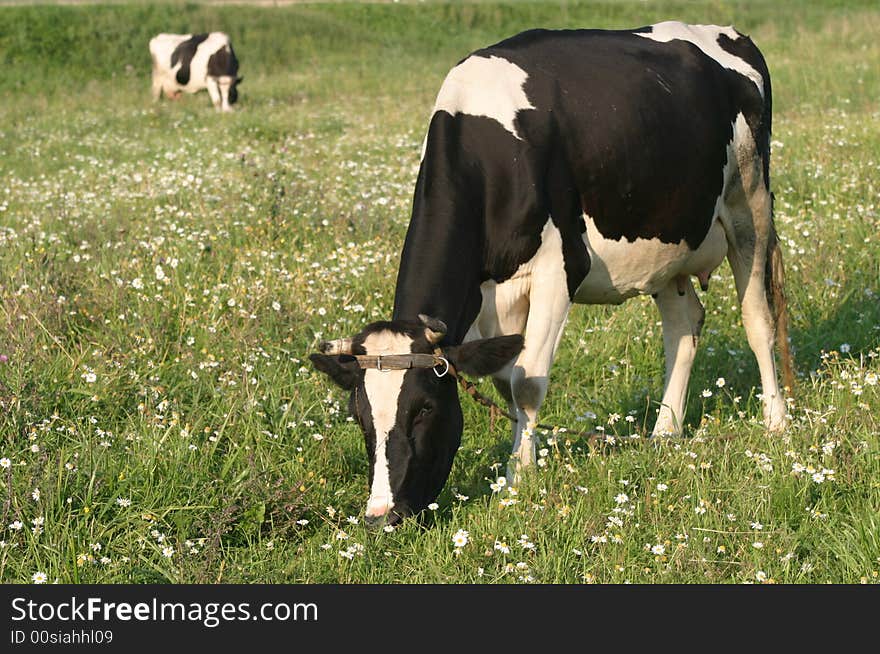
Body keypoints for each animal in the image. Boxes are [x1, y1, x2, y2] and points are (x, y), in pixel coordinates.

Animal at [312, 23, 796, 532]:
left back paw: (776, 422)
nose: (380, 516)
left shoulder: (559, 268)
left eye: (424, 407)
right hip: (668, 240)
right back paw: (665, 432)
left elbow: (526, 382)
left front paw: (518, 480)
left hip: (750, 204)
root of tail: (729, 34)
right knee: (684, 326)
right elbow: (505, 380)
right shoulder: (488, 297)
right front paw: (519, 461)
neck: (490, 147)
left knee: (757, 318)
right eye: (360, 416)